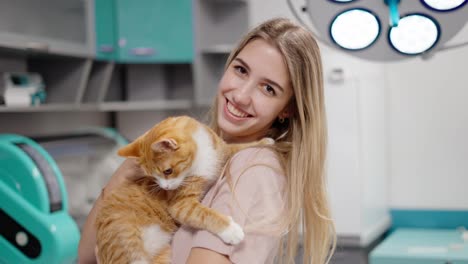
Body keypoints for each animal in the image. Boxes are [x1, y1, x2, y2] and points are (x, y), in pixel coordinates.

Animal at [96, 116, 274, 264]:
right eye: (153, 177)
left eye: (168, 171)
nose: (165, 187)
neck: (201, 156)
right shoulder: (181, 205)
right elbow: (205, 214)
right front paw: (230, 230)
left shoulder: (221, 152)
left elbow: (239, 147)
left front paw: (265, 142)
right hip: (129, 245)